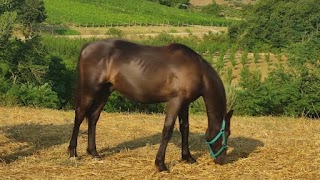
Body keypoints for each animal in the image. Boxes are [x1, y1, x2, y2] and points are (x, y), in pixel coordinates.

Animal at [68, 38, 232, 172]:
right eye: (227, 133)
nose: (222, 160)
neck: (197, 70)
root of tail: (87, 46)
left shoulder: (185, 103)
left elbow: (185, 128)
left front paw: (187, 157)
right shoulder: (175, 101)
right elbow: (167, 130)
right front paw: (160, 164)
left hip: (104, 91)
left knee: (93, 117)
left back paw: (94, 153)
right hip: (90, 90)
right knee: (79, 115)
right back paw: (72, 152)